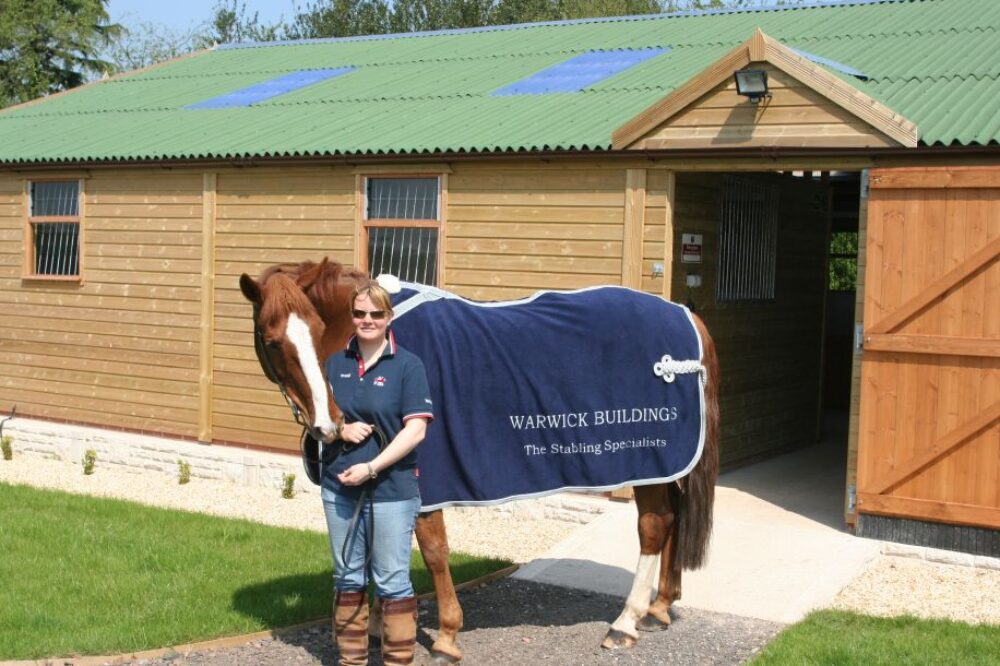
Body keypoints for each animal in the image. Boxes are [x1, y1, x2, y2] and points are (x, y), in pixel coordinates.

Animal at [241, 258, 720, 660]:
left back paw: (626, 621)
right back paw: (659, 608)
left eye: (318, 328)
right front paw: (377, 626)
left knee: (654, 525)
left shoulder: (425, 478)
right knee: (674, 517)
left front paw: (446, 636)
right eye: (273, 341)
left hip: (652, 463)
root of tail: (684, 313)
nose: (328, 425)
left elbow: (433, 551)